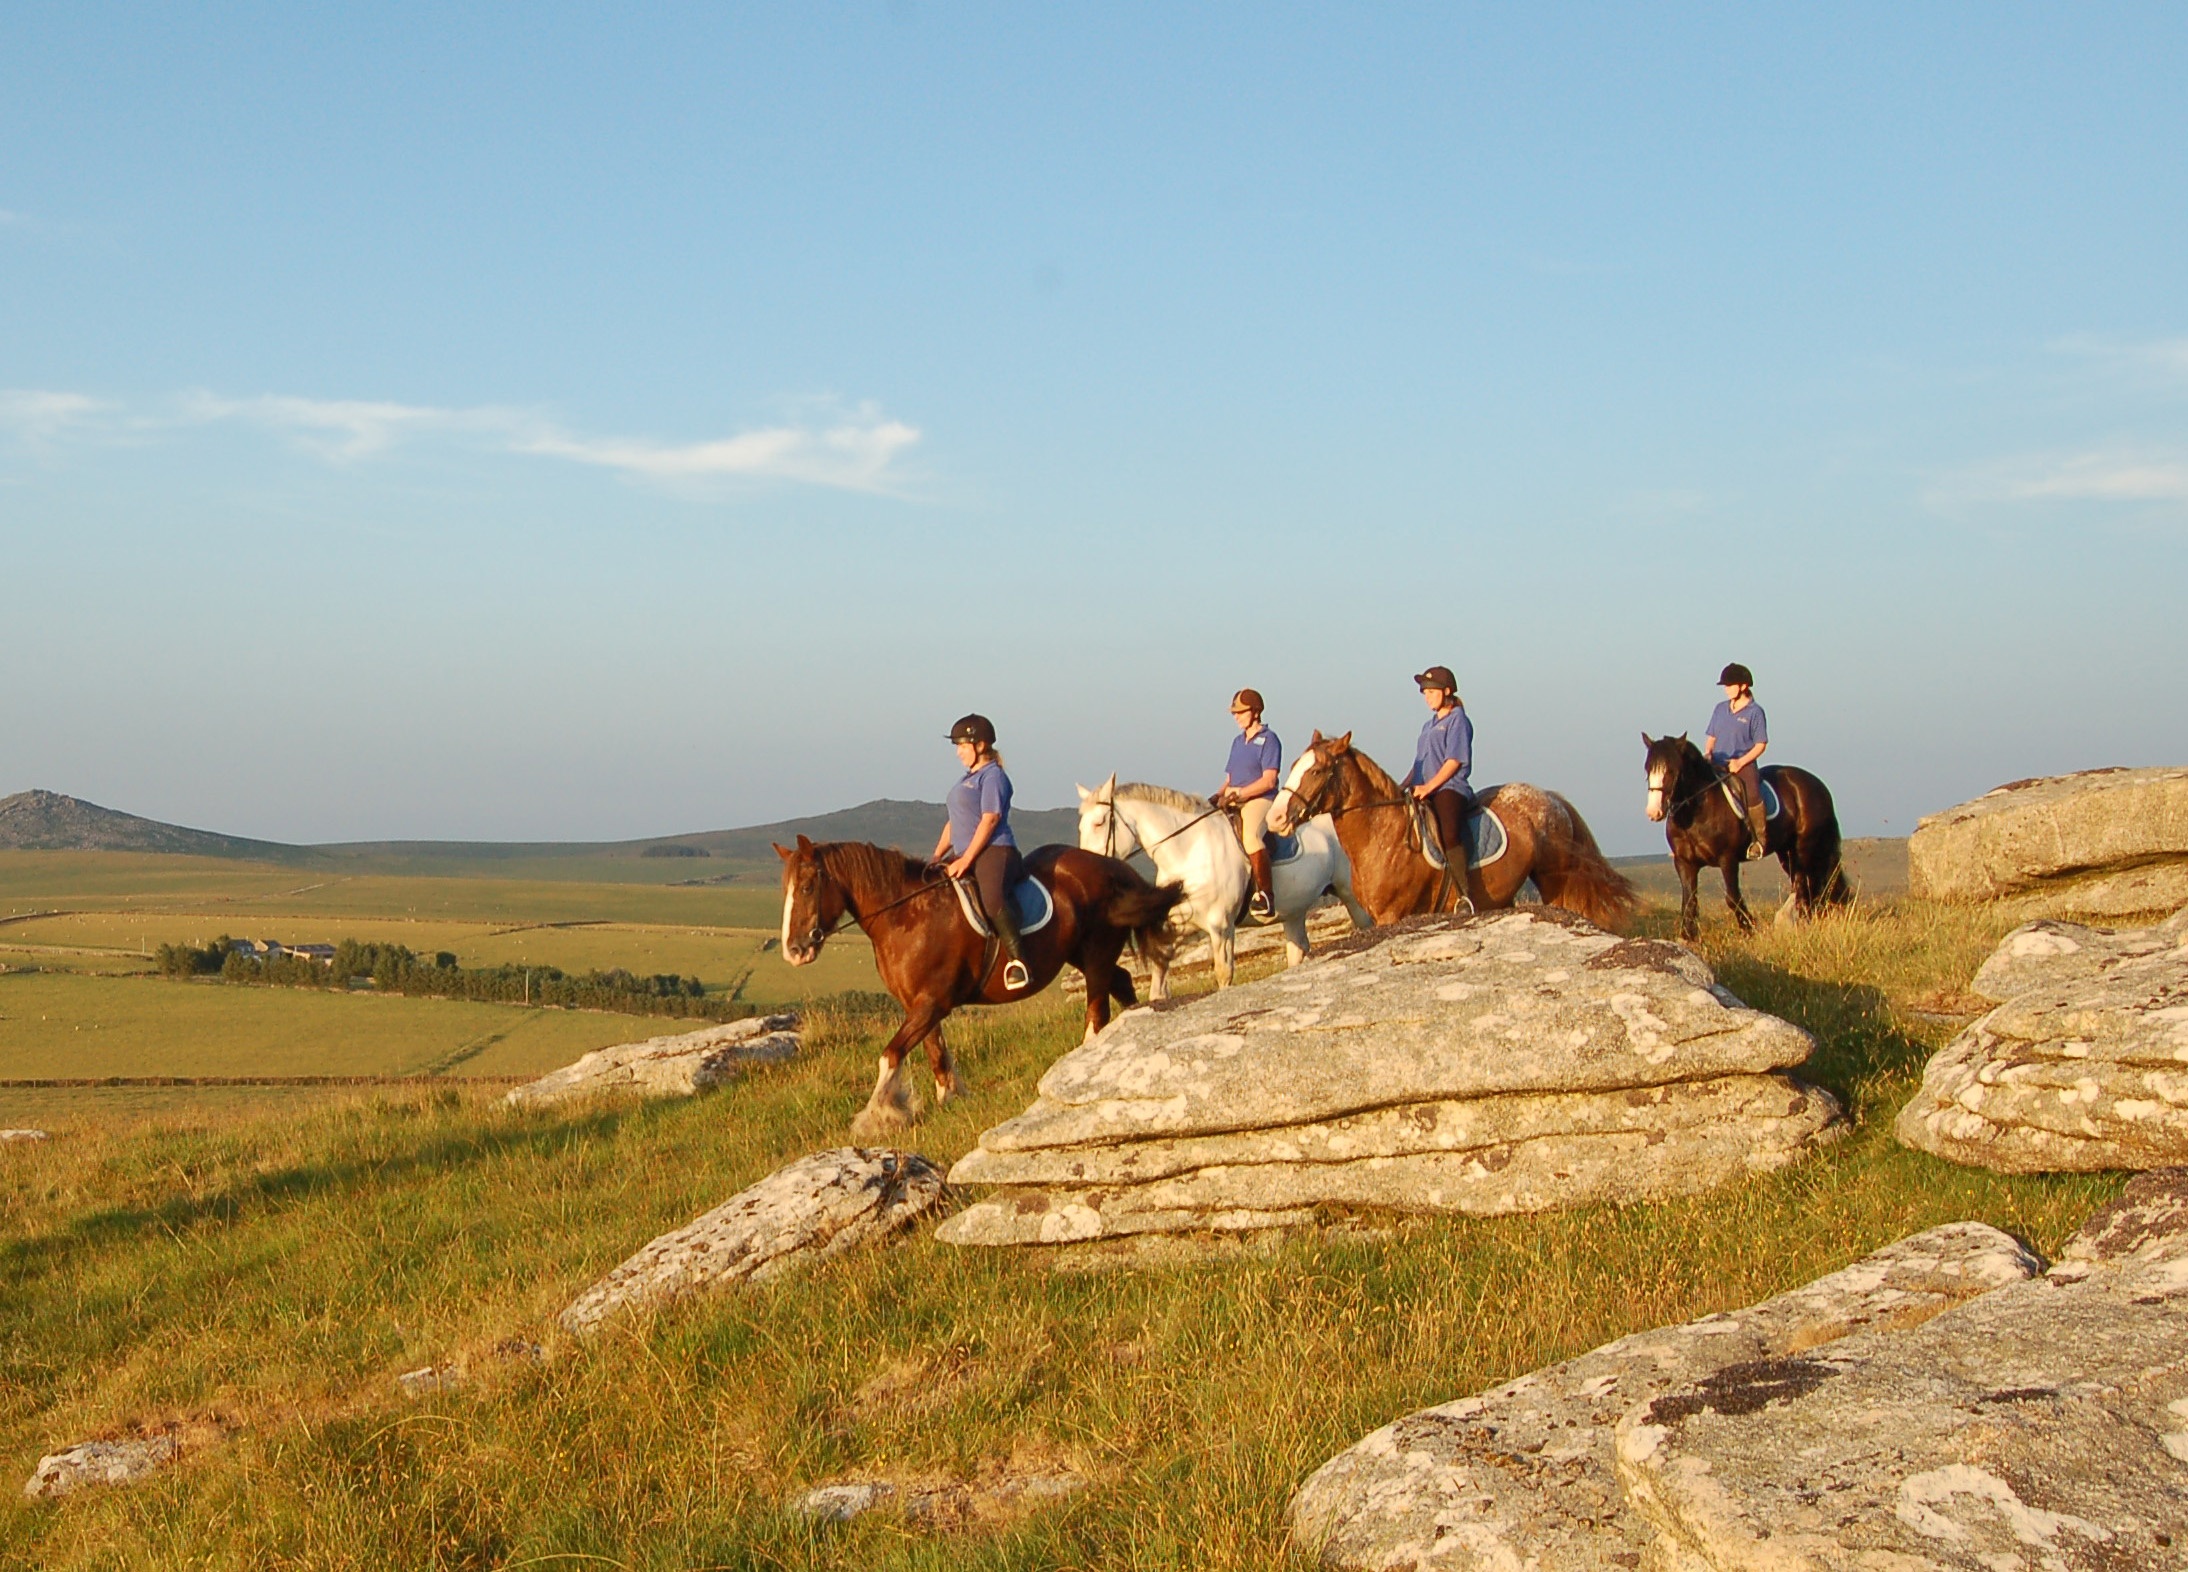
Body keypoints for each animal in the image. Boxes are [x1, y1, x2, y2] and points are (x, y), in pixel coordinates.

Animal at [774, 835, 1185, 1138]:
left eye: (808, 887)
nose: (794, 951)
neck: (906, 915)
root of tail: (1113, 866)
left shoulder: (931, 1003)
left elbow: (890, 1055)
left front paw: (878, 1118)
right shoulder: (919, 1005)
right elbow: (936, 1052)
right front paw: (949, 1099)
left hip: (1096, 954)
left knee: (1096, 1012)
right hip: (1083, 956)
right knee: (1123, 983)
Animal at [1075, 775, 1370, 991]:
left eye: (1099, 823)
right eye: (1081, 827)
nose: (1088, 873)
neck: (1189, 852)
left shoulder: (1221, 926)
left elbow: (1223, 973)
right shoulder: (1177, 926)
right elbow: (1159, 975)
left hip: (1350, 896)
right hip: (1294, 913)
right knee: (1298, 950)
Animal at [1267, 731, 1637, 930]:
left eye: (1316, 771)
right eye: (1294, 766)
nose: (1275, 818)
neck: (1383, 836)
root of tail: (1550, 796)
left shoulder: (1391, 916)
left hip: (1554, 879)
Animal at [1641, 733, 1851, 939]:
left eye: (1672, 770)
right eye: (1648, 769)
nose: (1654, 812)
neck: (1695, 812)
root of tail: (1817, 784)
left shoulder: (1727, 859)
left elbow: (1732, 898)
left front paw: (1750, 929)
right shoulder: (1685, 862)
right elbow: (1689, 901)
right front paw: (1687, 937)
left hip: (1806, 848)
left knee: (1808, 885)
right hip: (1787, 852)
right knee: (1802, 884)